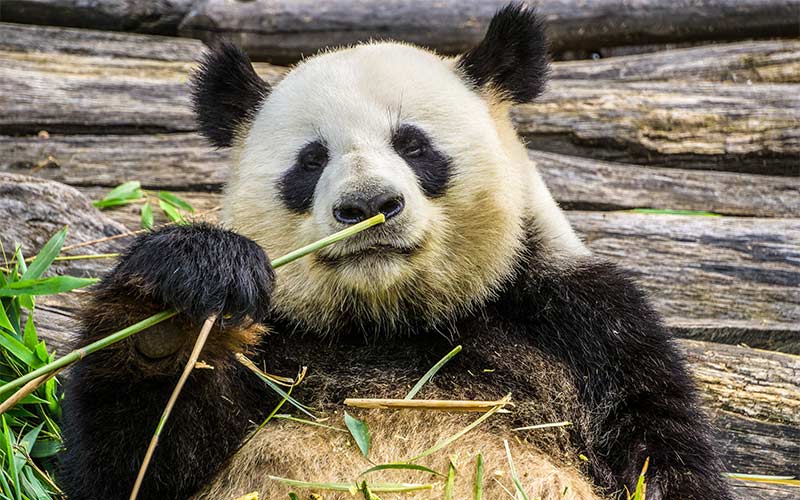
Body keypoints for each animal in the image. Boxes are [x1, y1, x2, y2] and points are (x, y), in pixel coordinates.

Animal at [59, 4, 732, 500]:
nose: (367, 205)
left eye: (413, 145)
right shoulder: (277, 349)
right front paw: (175, 308)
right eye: (312, 160)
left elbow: (659, 455)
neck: (390, 321)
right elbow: (138, 466)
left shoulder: (585, 330)